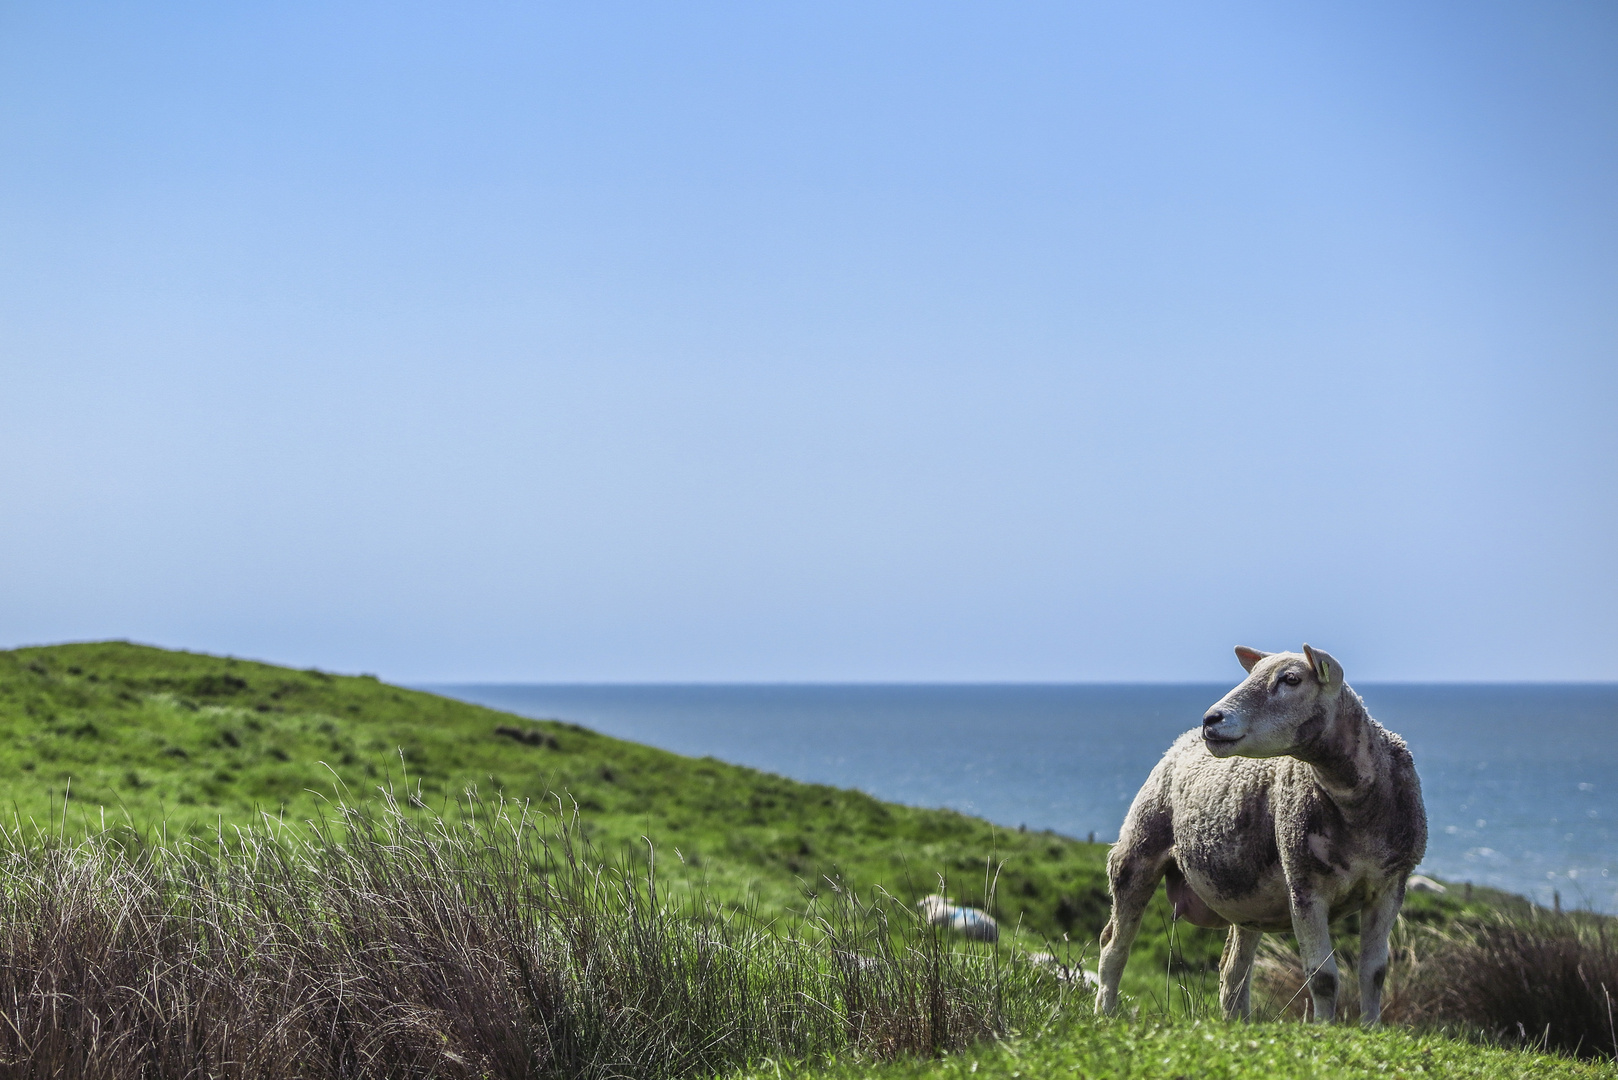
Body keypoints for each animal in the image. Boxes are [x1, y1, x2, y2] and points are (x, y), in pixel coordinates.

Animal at [1093, 647, 1423, 1029]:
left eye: (1291, 679)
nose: (1211, 719)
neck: (1355, 806)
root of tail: (1181, 742)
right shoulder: (1304, 885)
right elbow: (1322, 977)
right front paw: (1324, 1029)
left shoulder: (1390, 886)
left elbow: (1375, 973)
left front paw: (1371, 1028)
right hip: (1138, 851)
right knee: (1114, 945)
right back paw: (1105, 1012)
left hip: (1245, 896)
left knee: (1231, 969)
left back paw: (1236, 1022)